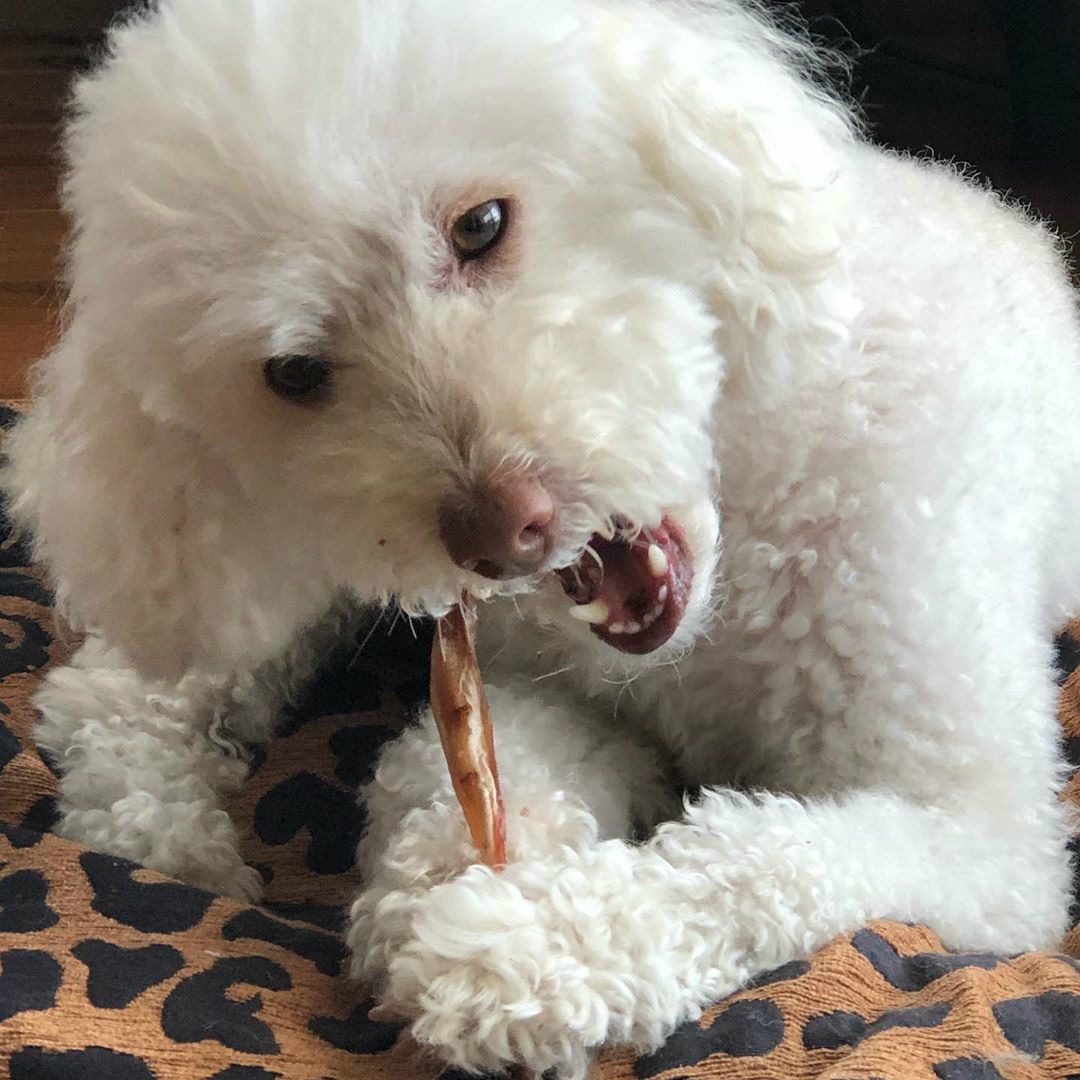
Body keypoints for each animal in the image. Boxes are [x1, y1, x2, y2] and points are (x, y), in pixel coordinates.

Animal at [2, 0, 1080, 1075]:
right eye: (296, 373)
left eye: (480, 225)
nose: (499, 529)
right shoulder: (535, 691)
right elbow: (446, 779)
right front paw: (455, 900)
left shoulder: (983, 839)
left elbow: (764, 858)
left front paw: (520, 948)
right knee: (116, 691)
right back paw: (163, 837)